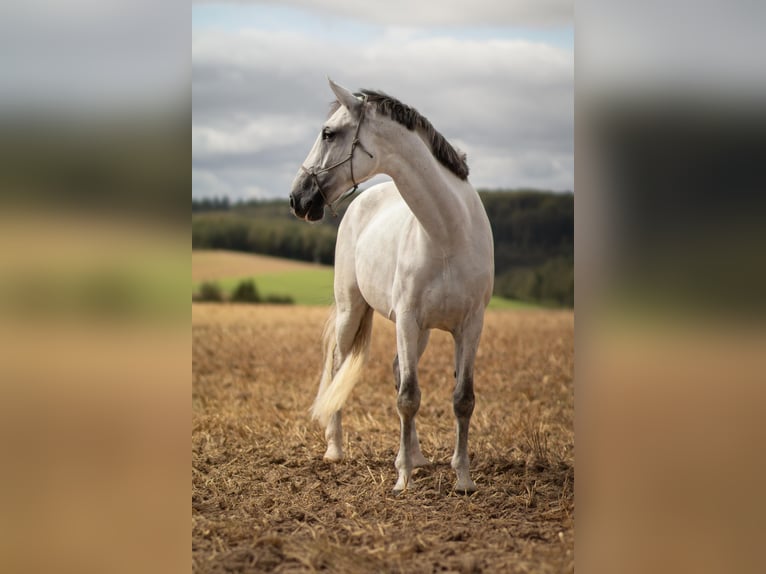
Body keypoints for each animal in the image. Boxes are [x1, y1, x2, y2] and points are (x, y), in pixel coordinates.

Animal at [290, 80, 498, 496]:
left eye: (328, 133)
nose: (297, 198)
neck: (448, 233)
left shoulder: (470, 325)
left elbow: (462, 399)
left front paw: (462, 478)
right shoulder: (406, 318)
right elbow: (408, 398)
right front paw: (403, 481)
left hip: (422, 332)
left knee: (398, 370)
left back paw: (415, 455)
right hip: (352, 312)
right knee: (340, 367)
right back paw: (336, 449)